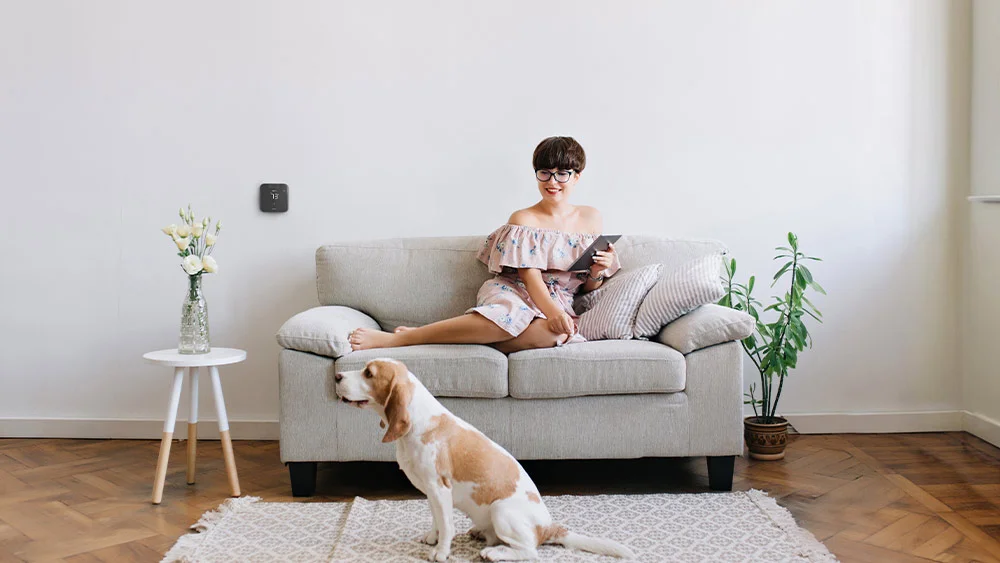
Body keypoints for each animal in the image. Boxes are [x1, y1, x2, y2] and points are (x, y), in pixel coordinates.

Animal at [336, 360, 632, 560]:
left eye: (368, 373)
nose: (337, 375)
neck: (419, 423)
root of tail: (548, 528)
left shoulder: (439, 489)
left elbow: (447, 525)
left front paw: (441, 552)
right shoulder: (431, 494)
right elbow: (436, 521)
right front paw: (432, 539)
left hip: (501, 511)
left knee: (530, 551)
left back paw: (495, 552)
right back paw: (482, 535)